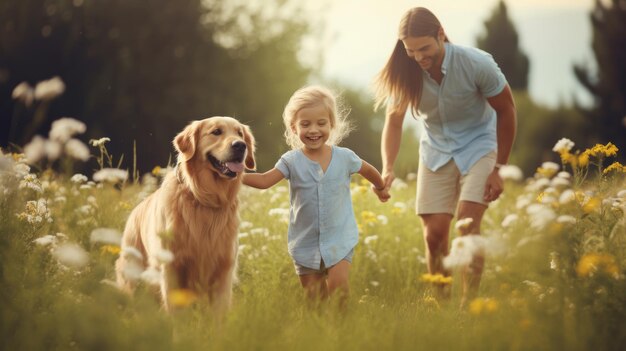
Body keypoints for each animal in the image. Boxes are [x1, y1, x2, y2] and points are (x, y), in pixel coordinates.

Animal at [114, 117, 254, 312]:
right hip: (132, 274)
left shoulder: (223, 271)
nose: (240, 145)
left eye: (240, 133)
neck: (205, 199)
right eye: (216, 132)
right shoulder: (172, 268)